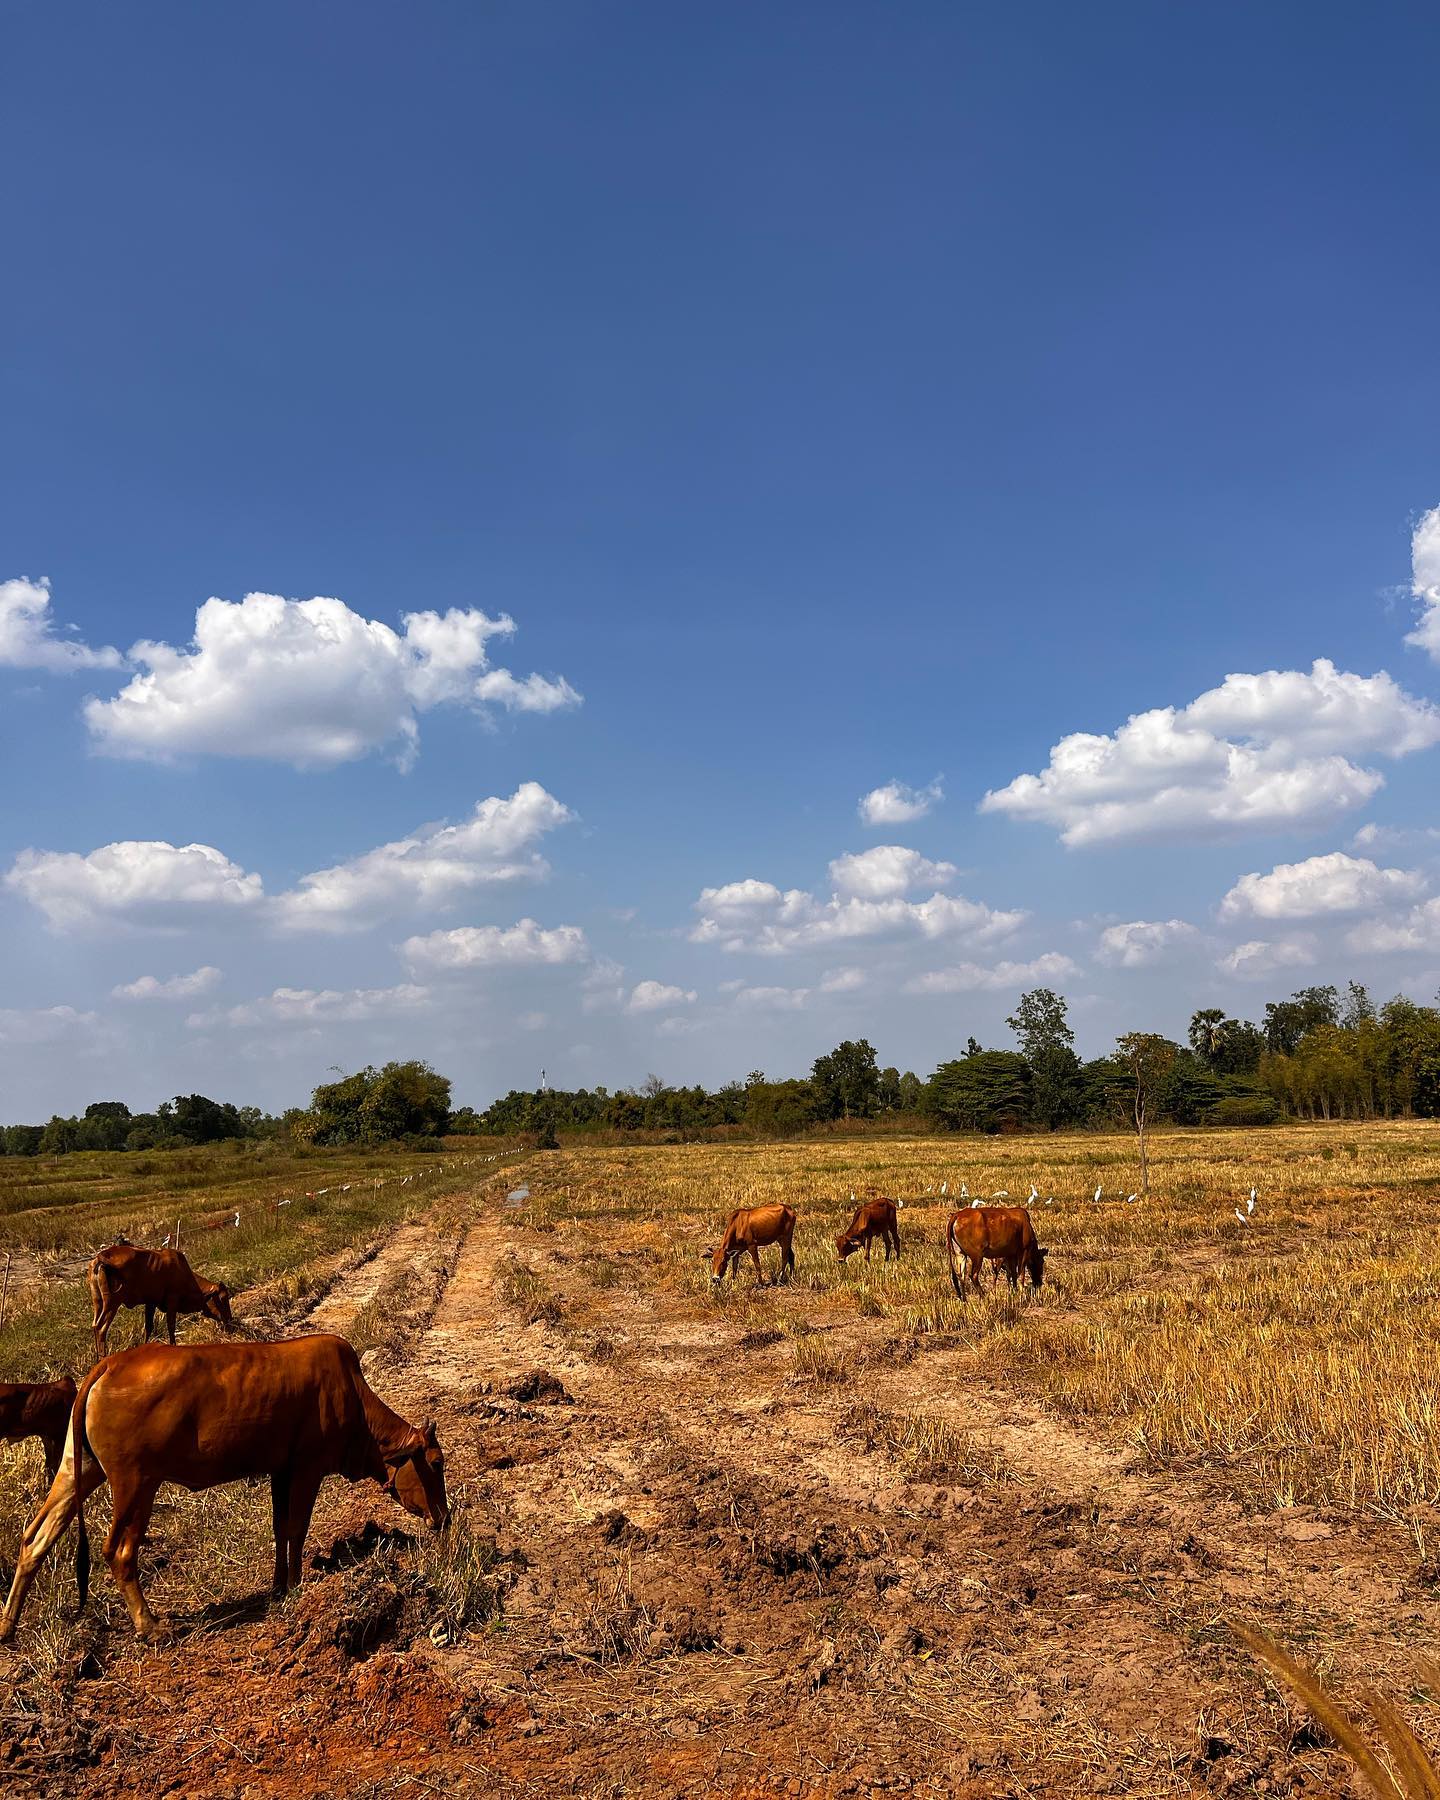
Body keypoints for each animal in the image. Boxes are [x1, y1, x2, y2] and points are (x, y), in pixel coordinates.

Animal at [0, 1339, 446, 1648]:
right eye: (437, 1462)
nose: (443, 1517)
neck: (352, 1398)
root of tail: (110, 1364)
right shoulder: (307, 1468)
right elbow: (297, 1529)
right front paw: (296, 1587)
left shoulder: (280, 1471)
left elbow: (281, 1528)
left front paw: (279, 1586)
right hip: (136, 1482)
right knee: (120, 1552)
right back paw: (150, 1626)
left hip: (78, 1470)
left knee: (36, 1539)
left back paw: (7, 1625)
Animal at [87, 1245, 234, 1353]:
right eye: (223, 1298)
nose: (230, 1320)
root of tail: (100, 1257)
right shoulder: (172, 1301)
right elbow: (171, 1326)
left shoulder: (151, 1302)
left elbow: (148, 1327)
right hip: (112, 1302)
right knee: (101, 1328)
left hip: (98, 1301)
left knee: (94, 1325)